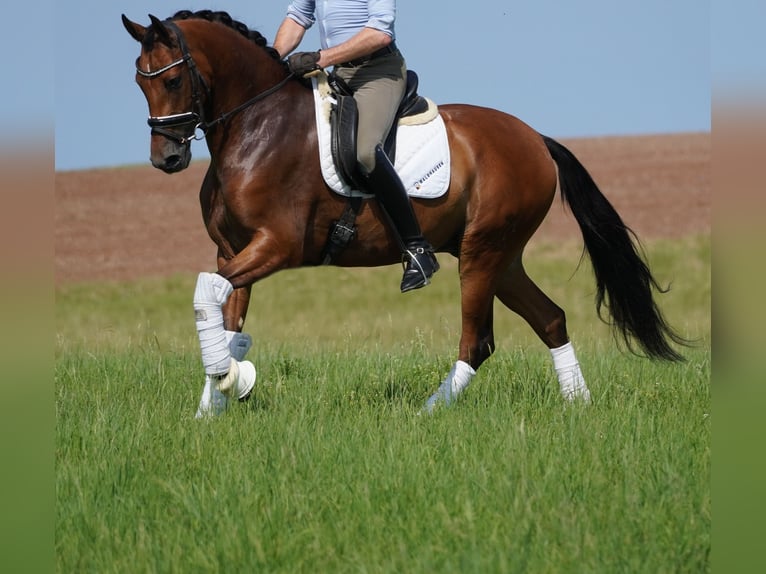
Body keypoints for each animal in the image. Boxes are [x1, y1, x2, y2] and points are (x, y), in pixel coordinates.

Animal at [121, 10, 688, 418]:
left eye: (172, 82)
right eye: (140, 83)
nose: (165, 159)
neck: (256, 126)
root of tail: (535, 139)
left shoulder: (278, 245)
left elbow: (206, 294)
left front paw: (229, 380)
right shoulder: (233, 250)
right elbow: (223, 316)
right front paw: (216, 401)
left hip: (481, 254)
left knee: (477, 342)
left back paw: (427, 413)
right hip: (502, 257)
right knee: (550, 319)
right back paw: (579, 407)